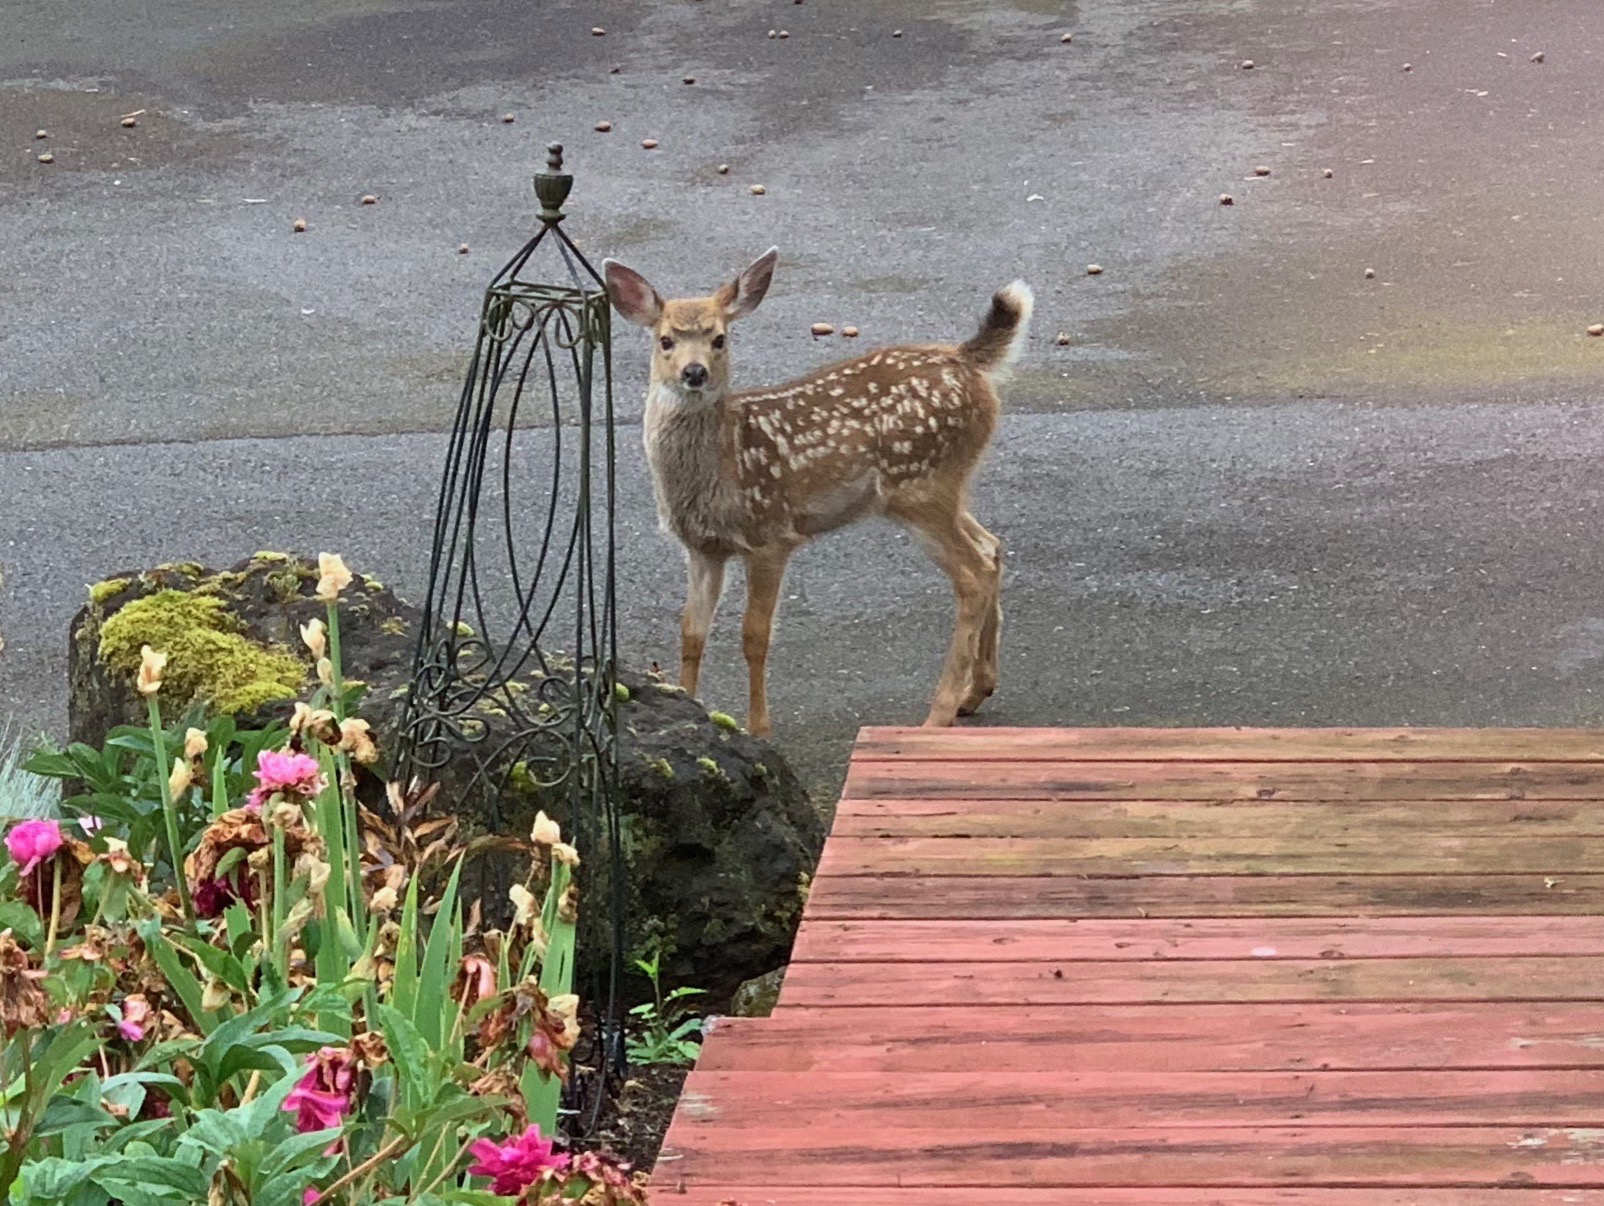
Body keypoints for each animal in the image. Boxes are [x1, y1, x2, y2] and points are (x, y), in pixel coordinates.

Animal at [602, 247, 1031, 737]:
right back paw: (974, 693)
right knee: (992, 548)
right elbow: (691, 632)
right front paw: (690, 708)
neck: (723, 465)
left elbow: (754, 636)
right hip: (944, 487)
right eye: (666, 340)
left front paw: (760, 729)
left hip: (921, 487)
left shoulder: (770, 533)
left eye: (719, 339)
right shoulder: (703, 547)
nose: (695, 373)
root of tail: (967, 361)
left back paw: (936, 716)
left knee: (973, 574)